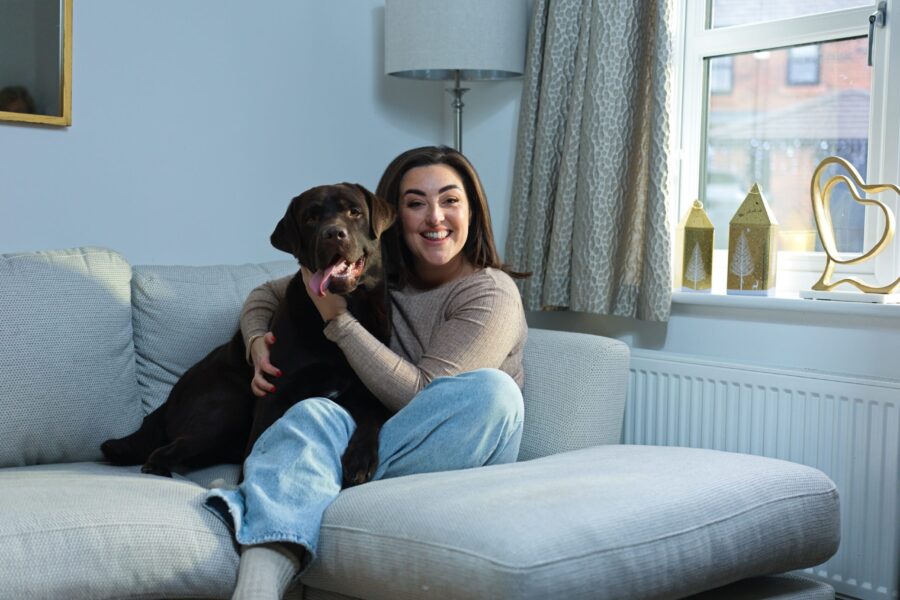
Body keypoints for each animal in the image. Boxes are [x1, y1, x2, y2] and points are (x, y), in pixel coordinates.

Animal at [100, 184, 392, 488]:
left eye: (354, 212)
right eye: (310, 218)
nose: (333, 234)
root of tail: (168, 400)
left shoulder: (368, 390)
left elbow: (374, 416)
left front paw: (359, 461)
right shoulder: (274, 392)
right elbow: (258, 443)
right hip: (229, 410)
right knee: (166, 449)